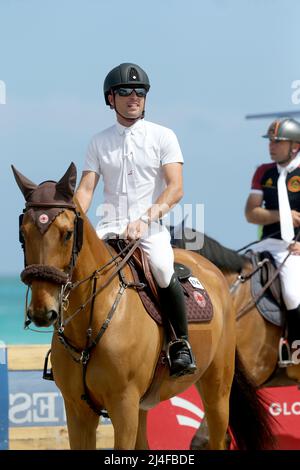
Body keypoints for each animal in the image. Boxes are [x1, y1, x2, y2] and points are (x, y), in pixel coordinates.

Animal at [11, 163, 274, 450]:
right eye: (22, 235)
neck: (91, 324)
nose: (42, 311)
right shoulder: (77, 411)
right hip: (144, 405)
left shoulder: (123, 406)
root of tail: (211, 268)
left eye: (68, 234)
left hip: (217, 390)